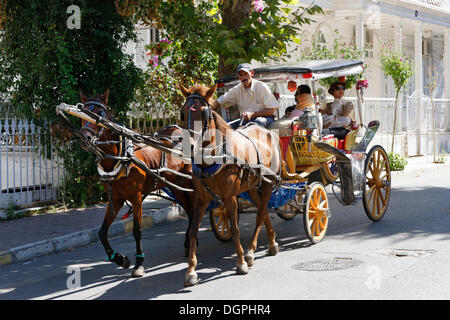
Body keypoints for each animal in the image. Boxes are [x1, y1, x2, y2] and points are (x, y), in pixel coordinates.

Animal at [78, 90, 193, 278]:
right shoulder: (115, 198)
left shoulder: (136, 197)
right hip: (176, 185)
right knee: (191, 212)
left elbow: (137, 231)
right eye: (82, 113)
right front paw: (120, 259)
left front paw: (139, 263)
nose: (84, 137)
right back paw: (188, 243)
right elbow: (102, 232)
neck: (122, 157)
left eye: (99, 113)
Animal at [178, 82, 282, 284]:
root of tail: (267, 132)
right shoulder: (201, 199)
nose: (189, 147)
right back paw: (272, 242)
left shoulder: (229, 197)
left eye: (203, 113)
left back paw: (250, 252)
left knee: (260, 214)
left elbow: (235, 229)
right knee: (262, 208)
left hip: (268, 182)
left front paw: (240, 263)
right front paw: (191, 271)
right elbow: (193, 230)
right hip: (252, 186)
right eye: (183, 112)